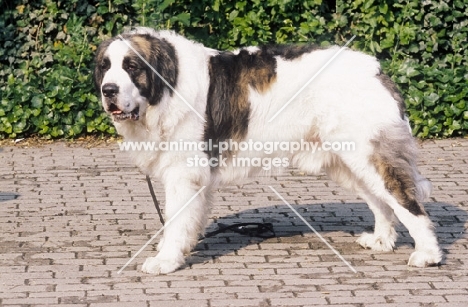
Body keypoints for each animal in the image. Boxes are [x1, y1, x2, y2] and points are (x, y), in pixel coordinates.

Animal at [94, 27, 442, 276]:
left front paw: (165, 260)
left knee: (405, 201)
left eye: (132, 66)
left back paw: (427, 254)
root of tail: (376, 70)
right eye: (105, 67)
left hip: (368, 153)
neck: (167, 85)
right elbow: (187, 219)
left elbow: (175, 219)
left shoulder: (182, 172)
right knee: (380, 201)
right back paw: (382, 241)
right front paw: (181, 249)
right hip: (348, 160)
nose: (108, 90)